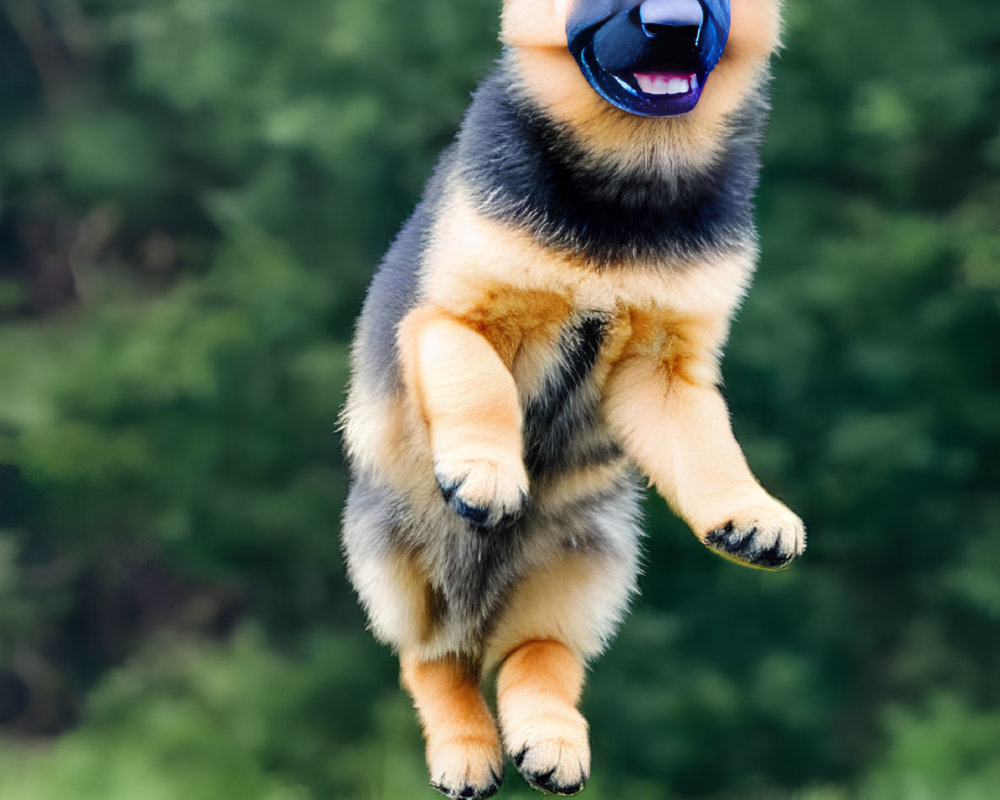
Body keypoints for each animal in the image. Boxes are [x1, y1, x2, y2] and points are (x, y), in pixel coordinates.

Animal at [344, 3, 804, 796]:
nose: (673, 26)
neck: (628, 176)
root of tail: (479, 610)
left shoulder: (665, 371)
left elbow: (709, 451)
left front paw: (749, 514)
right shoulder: (454, 321)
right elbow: (485, 388)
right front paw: (487, 473)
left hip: (588, 566)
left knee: (540, 655)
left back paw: (550, 742)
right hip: (395, 563)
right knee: (432, 662)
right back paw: (466, 750)